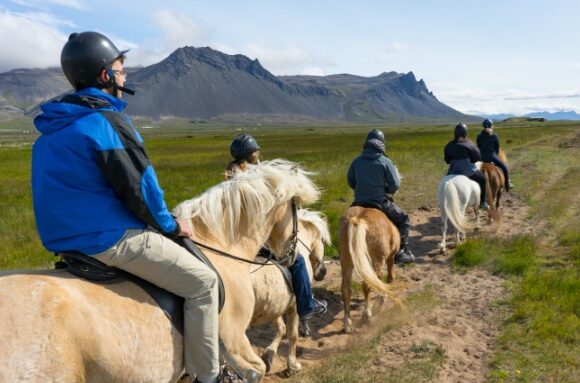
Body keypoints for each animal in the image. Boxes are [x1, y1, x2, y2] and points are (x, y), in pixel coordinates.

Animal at [249, 210, 330, 376]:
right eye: (323, 241)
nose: (323, 273)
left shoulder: (275, 306)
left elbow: (281, 328)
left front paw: (268, 356)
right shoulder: (294, 306)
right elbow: (293, 334)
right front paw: (292, 366)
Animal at [338, 206, 402, 334]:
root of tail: (358, 219)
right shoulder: (390, 257)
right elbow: (389, 278)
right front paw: (381, 302)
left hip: (346, 262)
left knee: (346, 290)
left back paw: (348, 324)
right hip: (376, 261)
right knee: (367, 284)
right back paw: (367, 314)